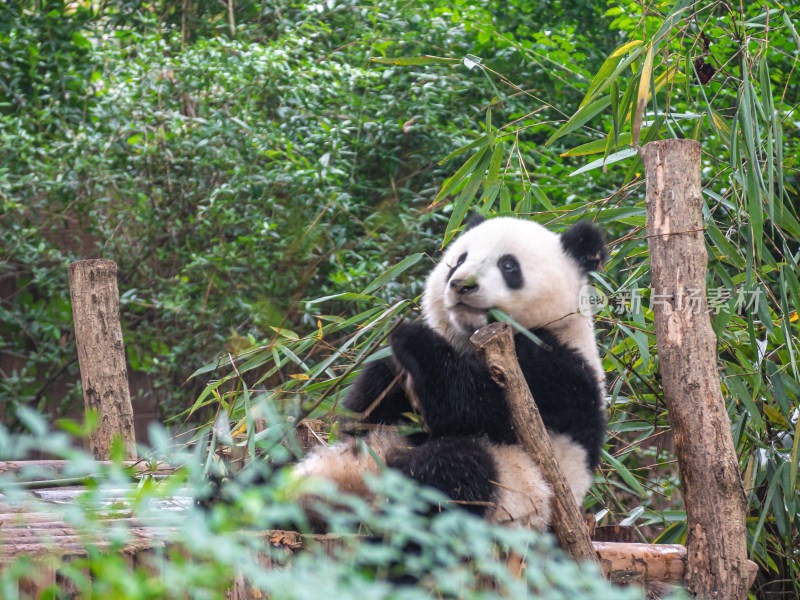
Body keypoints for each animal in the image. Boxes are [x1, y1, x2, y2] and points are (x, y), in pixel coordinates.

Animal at [298, 216, 608, 528]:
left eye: (508, 265)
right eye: (459, 260)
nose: (461, 285)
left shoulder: (560, 372)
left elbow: (487, 410)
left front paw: (412, 337)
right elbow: (366, 414)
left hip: (519, 490)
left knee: (452, 473)